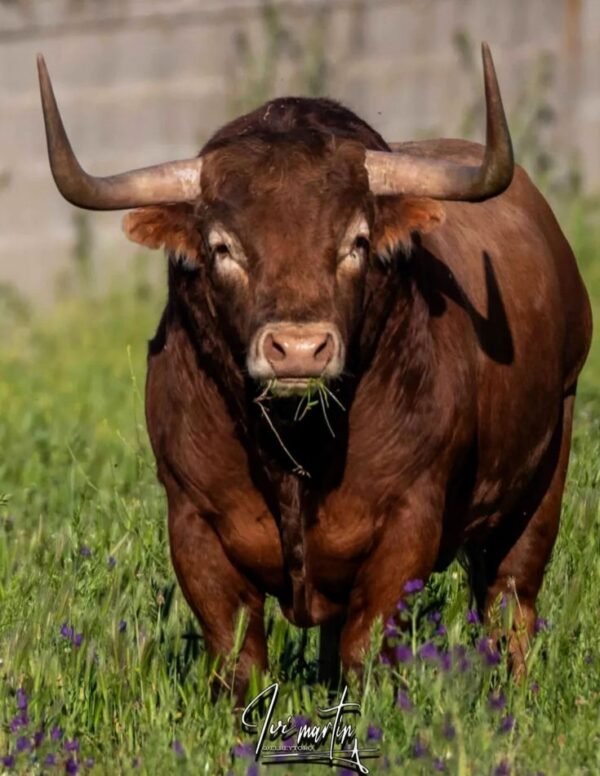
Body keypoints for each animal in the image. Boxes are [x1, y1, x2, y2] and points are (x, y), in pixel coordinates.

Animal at [37, 44, 592, 695]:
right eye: (223, 246)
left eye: (357, 241)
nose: (299, 350)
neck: (296, 452)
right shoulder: (193, 525)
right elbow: (238, 655)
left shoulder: (407, 523)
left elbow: (368, 646)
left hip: (545, 470)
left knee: (510, 602)